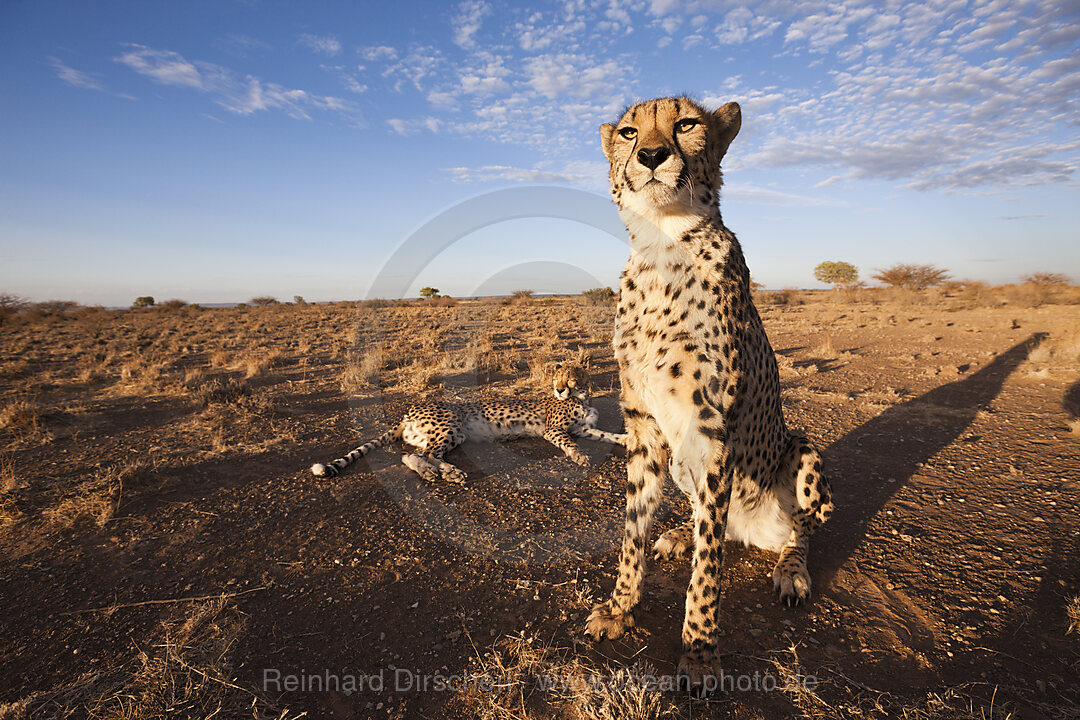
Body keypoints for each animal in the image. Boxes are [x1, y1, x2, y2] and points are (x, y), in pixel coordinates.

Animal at [311, 360, 626, 483]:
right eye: (556, 379)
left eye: (570, 378)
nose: (560, 389)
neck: (582, 397)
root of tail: (410, 410)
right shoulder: (554, 430)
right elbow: (569, 442)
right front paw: (580, 457)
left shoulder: (584, 428)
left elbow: (608, 435)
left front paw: (627, 439)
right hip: (449, 427)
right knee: (426, 454)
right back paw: (450, 473)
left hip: (444, 435)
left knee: (411, 455)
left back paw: (434, 472)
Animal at [587, 98, 829, 695]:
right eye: (629, 132)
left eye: (687, 125)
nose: (652, 155)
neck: (662, 244)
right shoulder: (645, 428)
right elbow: (632, 531)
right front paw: (620, 607)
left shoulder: (712, 431)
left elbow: (707, 574)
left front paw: (698, 654)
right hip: (682, 465)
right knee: (711, 525)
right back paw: (679, 535)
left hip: (803, 452)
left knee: (796, 533)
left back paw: (790, 571)